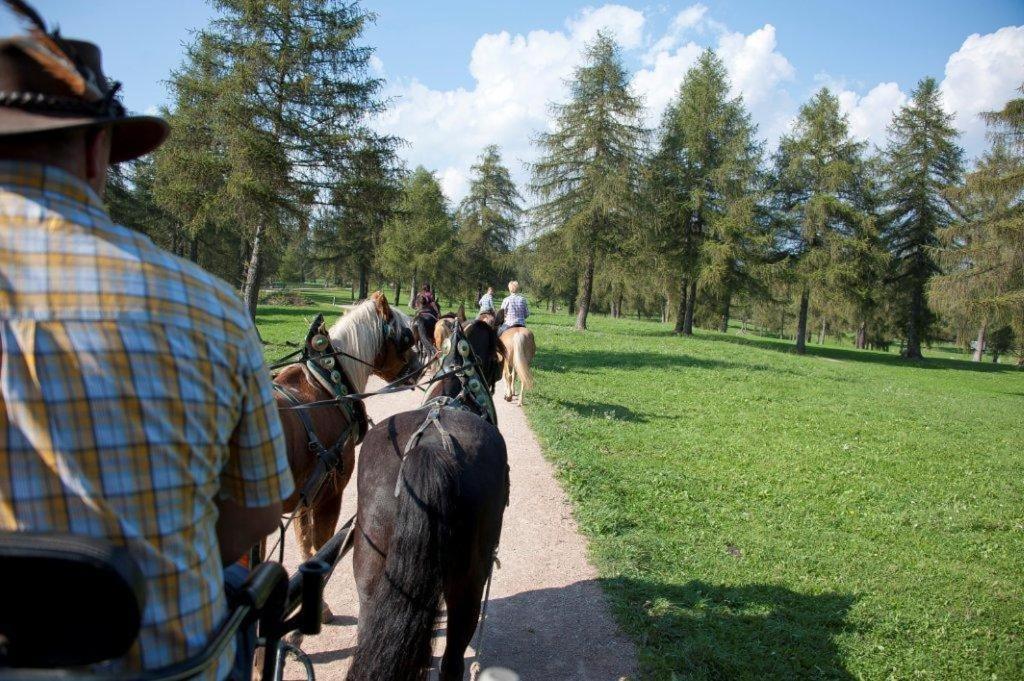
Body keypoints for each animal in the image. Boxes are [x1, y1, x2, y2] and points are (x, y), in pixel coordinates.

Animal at [272, 292, 419, 569]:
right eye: (407, 338)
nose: (418, 366)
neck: (326, 385)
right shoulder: (330, 495)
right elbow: (319, 548)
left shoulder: (305, 498)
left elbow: (304, 544)